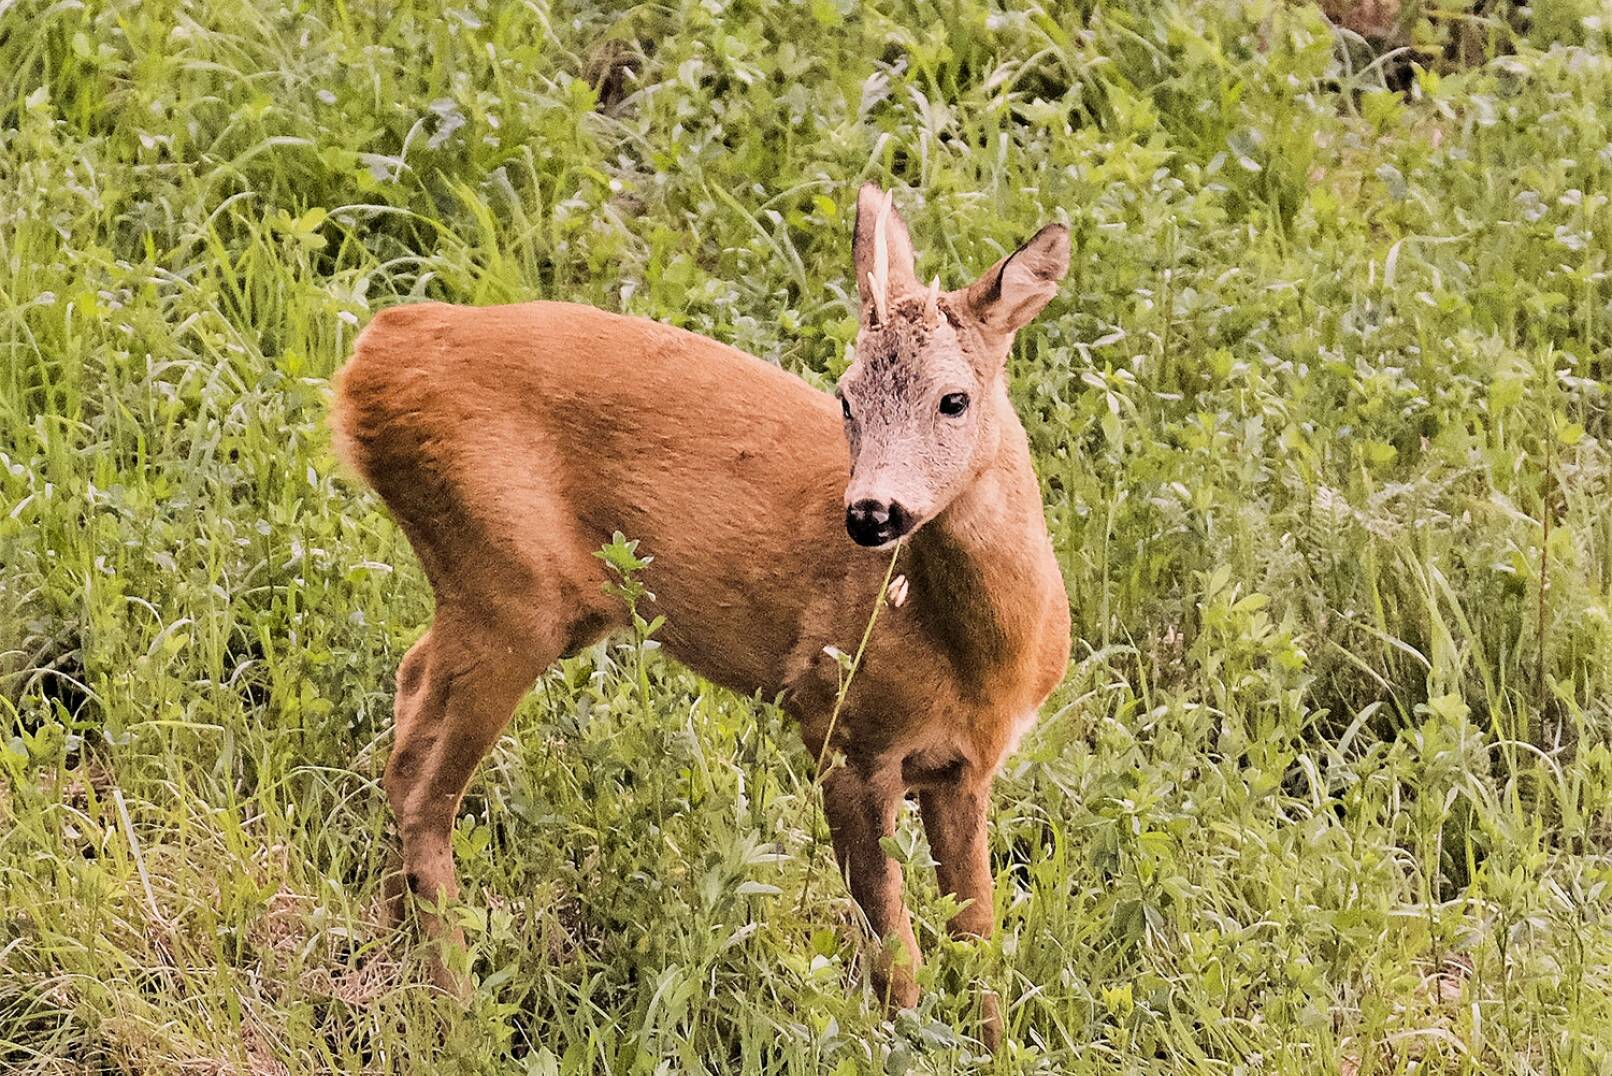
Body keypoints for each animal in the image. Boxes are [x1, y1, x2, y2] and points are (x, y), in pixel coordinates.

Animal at [330, 185, 1070, 1045]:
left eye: (954, 400)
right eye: (846, 398)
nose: (870, 514)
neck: (975, 656)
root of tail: (371, 355)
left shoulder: (967, 768)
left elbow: (979, 939)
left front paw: (991, 1048)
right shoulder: (840, 730)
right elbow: (897, 955)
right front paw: (901, 1048)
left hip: (512, 598)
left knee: (409, 703)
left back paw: (390, 956)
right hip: (506, 585)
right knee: (427, 793)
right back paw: (459, 1011)